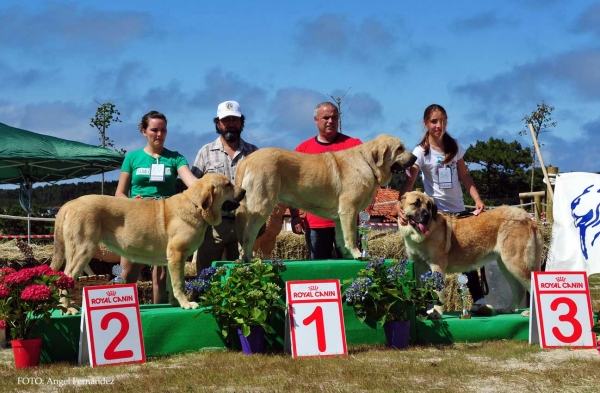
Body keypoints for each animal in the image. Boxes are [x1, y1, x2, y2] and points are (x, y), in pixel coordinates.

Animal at [50, 173, 245, 314]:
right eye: (228, 184)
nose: (243, 191)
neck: (196, 206)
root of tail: (69, 204)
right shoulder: (178, 254)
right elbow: (180, 283)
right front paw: (187, 303)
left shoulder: (172, 260)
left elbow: (170, 283)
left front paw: (175, 303)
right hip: (83, 250)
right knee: (66, 277)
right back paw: (67, 308)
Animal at [236, 134, 418, 260]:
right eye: (400, 148)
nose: (415, 157)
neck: (368, 163)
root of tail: (246, 161)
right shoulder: (349, 210)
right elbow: (350, 235)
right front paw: (357, 254)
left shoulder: (340, 216)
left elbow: (341, 238)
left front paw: (347, 255)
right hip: (262, 205)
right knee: (248, 234)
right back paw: (249, 258)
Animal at [398, 191, 544, 316]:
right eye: (416, 204)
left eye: (429, 206)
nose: (427, 216)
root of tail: (528, 218)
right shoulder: (418, 267)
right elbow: (419, 290)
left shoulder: (437, 266)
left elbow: (438, 292)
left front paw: (436, 313)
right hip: (506, 265)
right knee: (519, 290)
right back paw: (508, 309)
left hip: (514, 263)